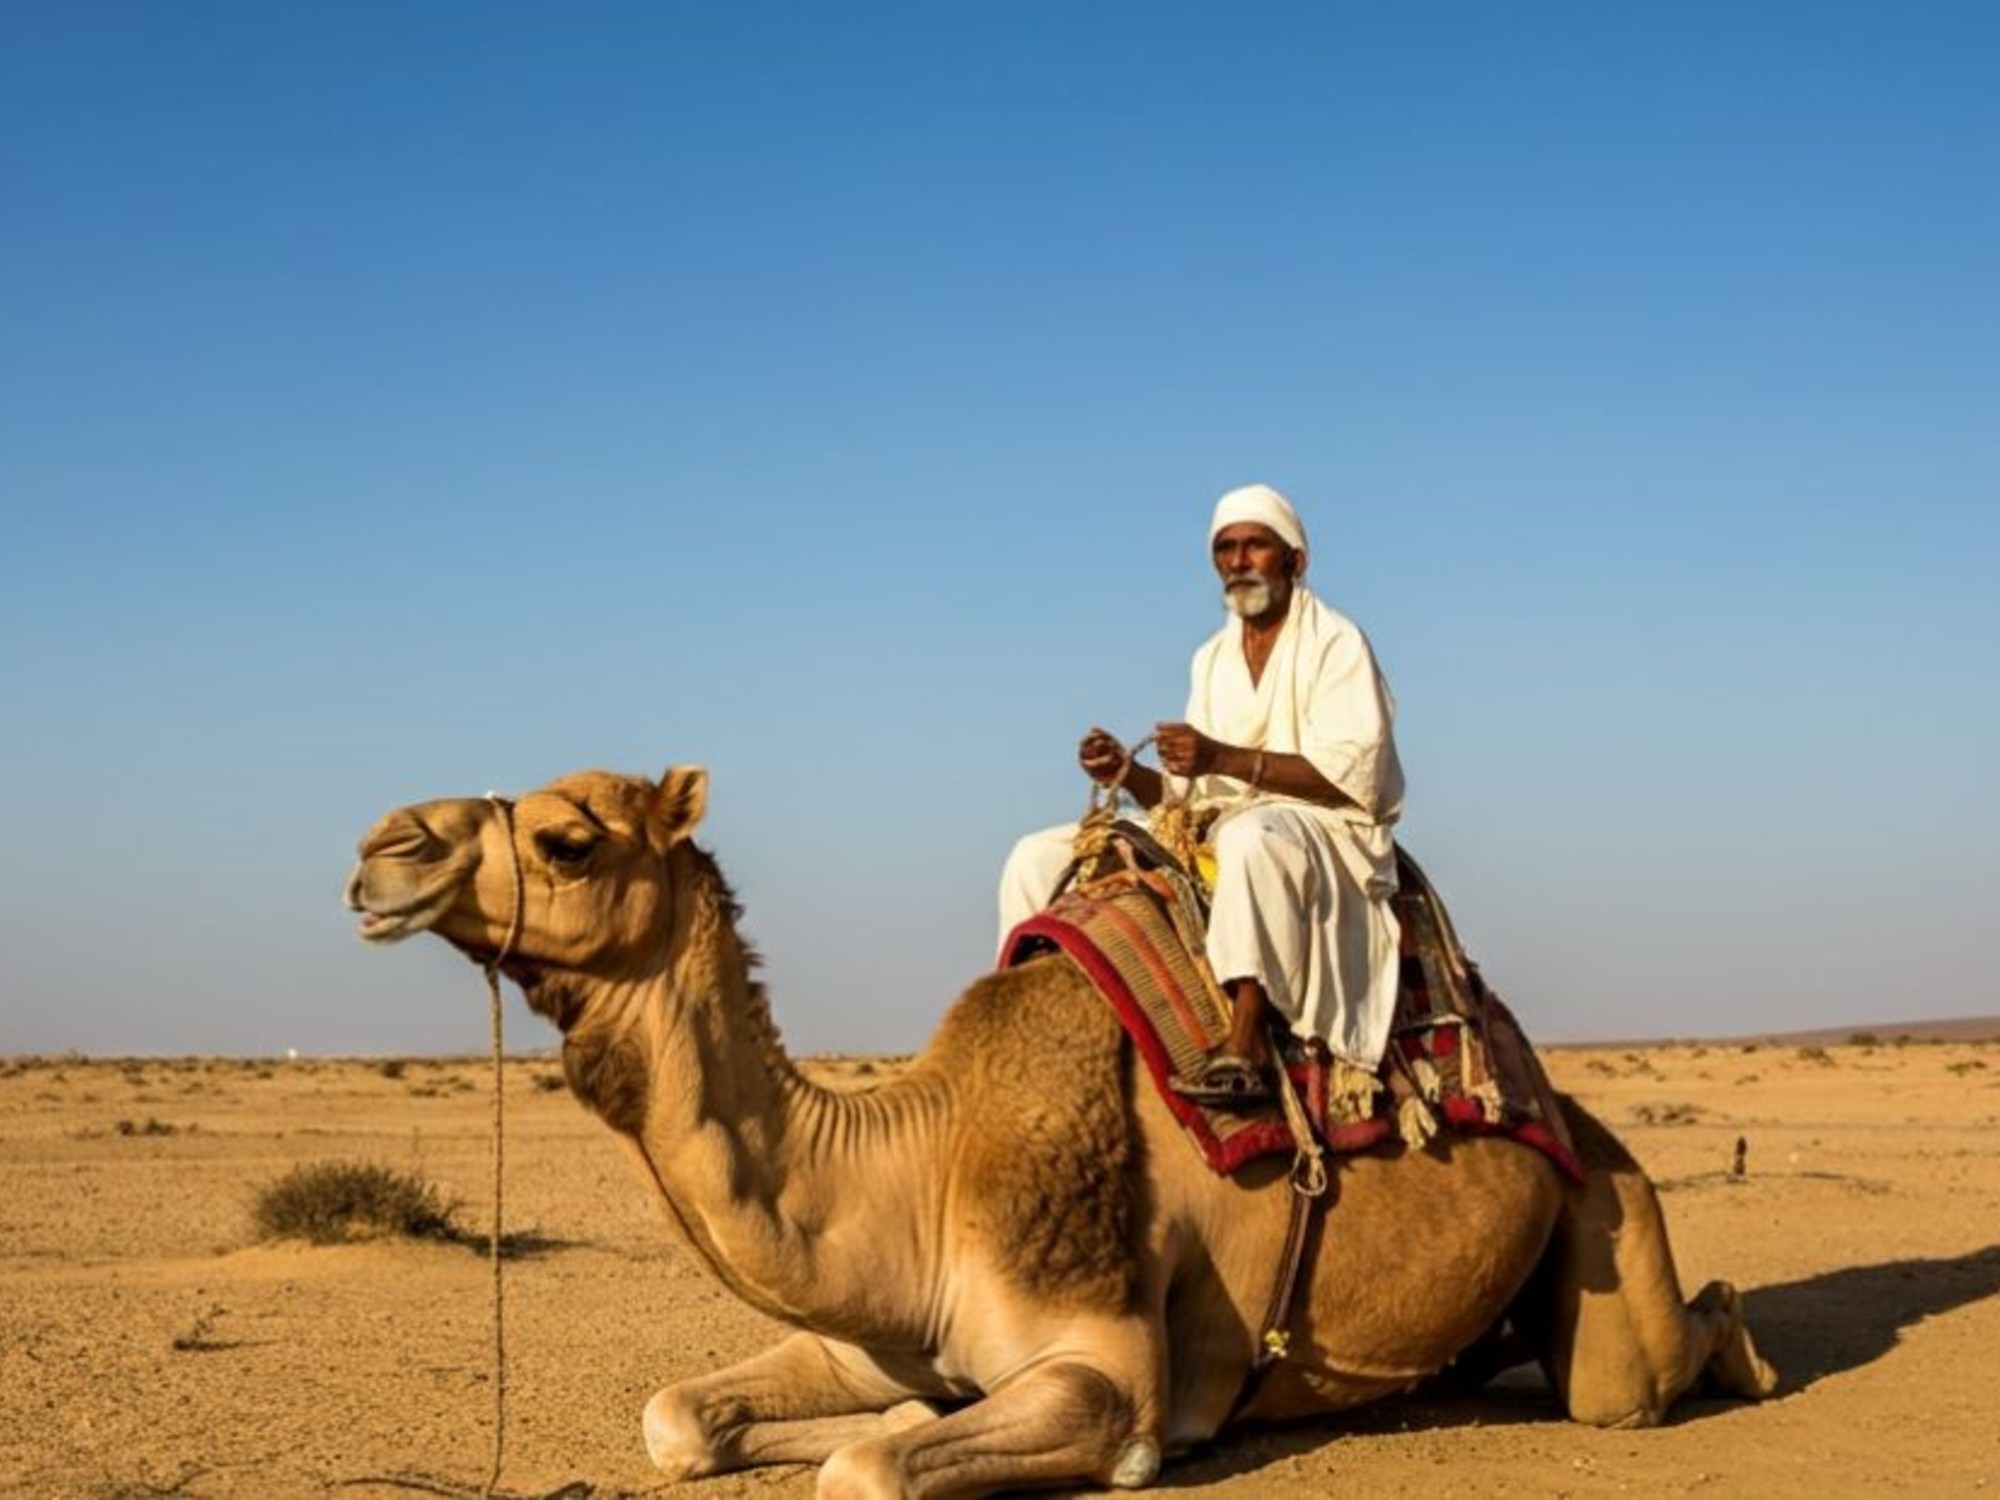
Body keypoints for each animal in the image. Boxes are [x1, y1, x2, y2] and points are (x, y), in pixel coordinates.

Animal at [345, 765, 1776, 1498]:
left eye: (566, 839)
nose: (379, 848)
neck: (920, 1167)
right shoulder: (872, 1328)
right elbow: (687, 1418)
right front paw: (836, 1419)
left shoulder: (1102, 1366)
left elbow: (868, 1472)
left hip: (1601, 1208)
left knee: (1630, 1372)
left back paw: (1742, 1345)